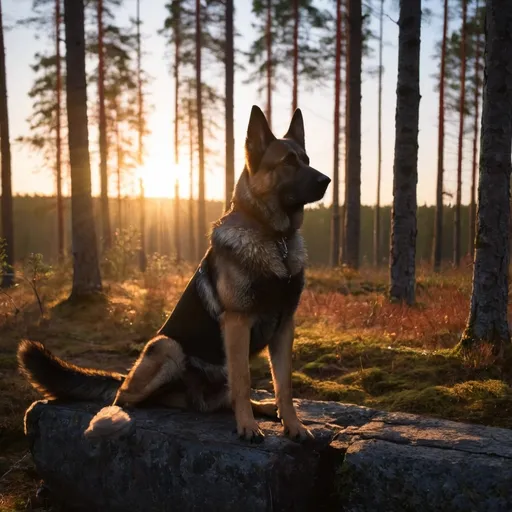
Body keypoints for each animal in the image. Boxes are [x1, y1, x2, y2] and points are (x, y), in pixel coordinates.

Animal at [18, 105, 330, 444]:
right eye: (288, 162)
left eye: (307, 160)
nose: (327, 180)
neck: (275, 238)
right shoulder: (237, 322)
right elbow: (244, 379)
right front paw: (247, 426)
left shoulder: (285, 326)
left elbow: (284, 384)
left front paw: (293, 424)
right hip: (168, 347)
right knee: (125, 395)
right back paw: (119, 414)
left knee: (213, 400)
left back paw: (262, 407)